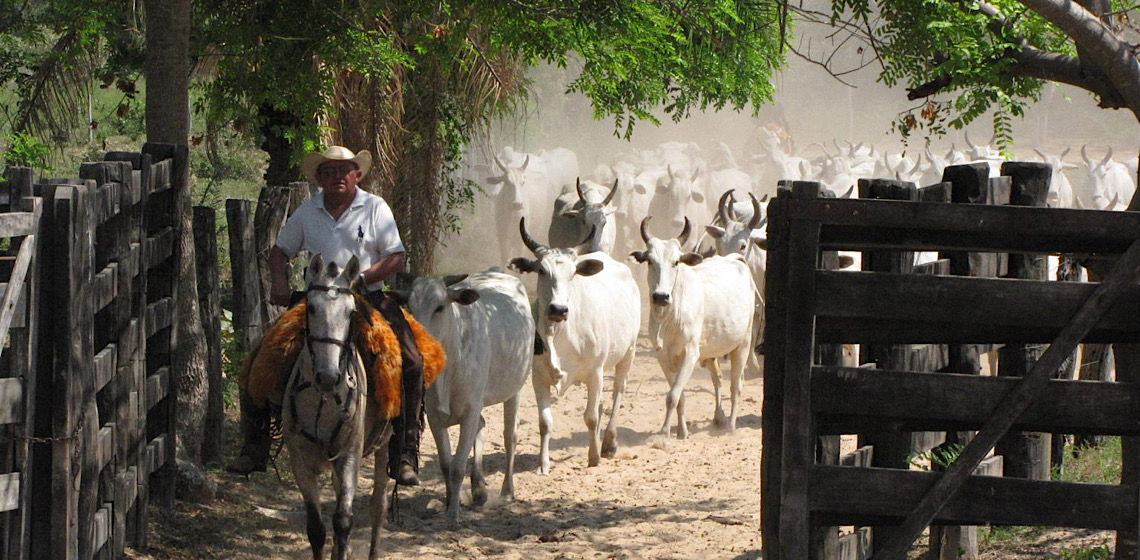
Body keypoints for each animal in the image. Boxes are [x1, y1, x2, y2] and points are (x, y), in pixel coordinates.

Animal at [282, 255, 394, 560]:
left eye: (350, 311)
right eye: (311, 307)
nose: (328, 377)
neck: (322, 400)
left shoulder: (349, 456)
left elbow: (343, 521)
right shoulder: (301, 462)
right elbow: (316, 529)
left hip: (385, 446)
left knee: (378, 507)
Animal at [405, 271, 533, 522]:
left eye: (439, 307)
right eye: (410, 308)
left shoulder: (470, 411)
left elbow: (457, 467)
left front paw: (453, 515)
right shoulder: (434, 416)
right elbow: (446, 465)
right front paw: (448, 503)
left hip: (515, 390)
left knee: (509, 437)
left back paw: (506, 491)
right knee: (482, 426)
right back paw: (478, 489)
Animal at [510, 218, 642, 474]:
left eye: (573, 274)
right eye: (542, 270)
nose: (559, 309)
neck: (559, 336)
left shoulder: (595, 373)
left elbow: (590, 417)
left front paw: (594, 458)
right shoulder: (538, 376)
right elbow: (545, 422)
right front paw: (543, 464)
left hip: (628, 354)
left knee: (617, 393)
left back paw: (609, 443)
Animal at [633, 216, 756, 435]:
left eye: (676, 262)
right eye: (650, 261)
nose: (661, 296)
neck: (670, 318)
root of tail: (734, 258)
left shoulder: (690, 353)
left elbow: (672, 396)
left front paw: (664, 432)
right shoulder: (662, 356)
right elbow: (679, 395)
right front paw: (682, 432)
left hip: (743, 342)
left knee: (736, 385)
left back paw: (731, 425)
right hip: (712, 351)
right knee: (718, 379)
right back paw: (718, 418)